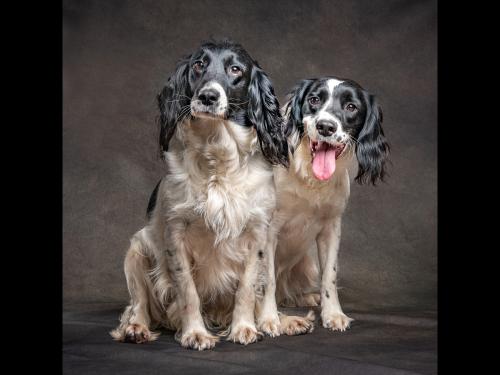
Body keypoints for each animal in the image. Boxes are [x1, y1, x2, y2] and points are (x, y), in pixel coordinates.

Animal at [111, 39, 300, 352]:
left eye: (236, 69)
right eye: (199, 65)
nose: (208, 96)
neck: (218, 160)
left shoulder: (258, 233)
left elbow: (248, 287)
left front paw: (244, 328)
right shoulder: (176, 233)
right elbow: (188, 291)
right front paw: (195, 334)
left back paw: (281, 321)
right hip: (137, 249)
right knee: (137, 305)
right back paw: (135, 329)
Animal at [258, 78, 390, 336]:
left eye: (351, 106)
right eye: (314, 100)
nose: (326, 126)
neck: (310, 177)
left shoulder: (331, 228)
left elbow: (330, 275)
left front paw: (333, 314)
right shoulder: (268, 229)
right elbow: (267, 280)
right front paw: (269, 319)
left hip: (307, 264)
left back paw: (308, 297)